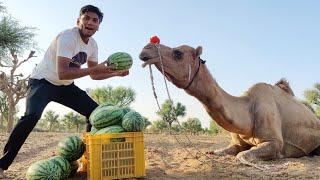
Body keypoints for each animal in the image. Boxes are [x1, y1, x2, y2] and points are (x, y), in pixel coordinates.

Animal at [139, 43, 320, 162]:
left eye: (178, 53)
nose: (146, 49)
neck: (247, 110)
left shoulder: (275, 142)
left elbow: (243, 155)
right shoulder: (236, 142)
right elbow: (218, 151)